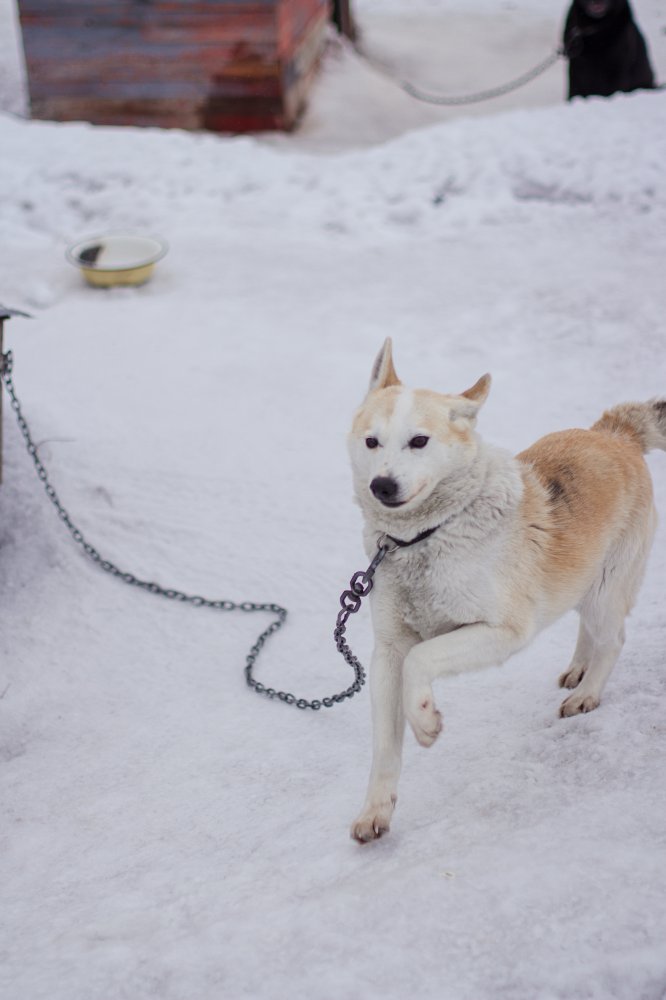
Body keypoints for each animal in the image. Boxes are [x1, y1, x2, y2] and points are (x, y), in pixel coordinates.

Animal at [350, 340, 660, 840]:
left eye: (419, 441)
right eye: (371, 442)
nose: (382, 485)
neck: (428, 536)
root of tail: (614, 433)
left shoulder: (502, 633)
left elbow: (423, 659)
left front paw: (425, 721)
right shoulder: (387, 651)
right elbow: (384, 746)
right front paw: (375, 810)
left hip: (605, 592)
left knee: (613, 640)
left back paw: (587, 694)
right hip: (583, 584)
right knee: (587, 631)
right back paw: (578, 669)